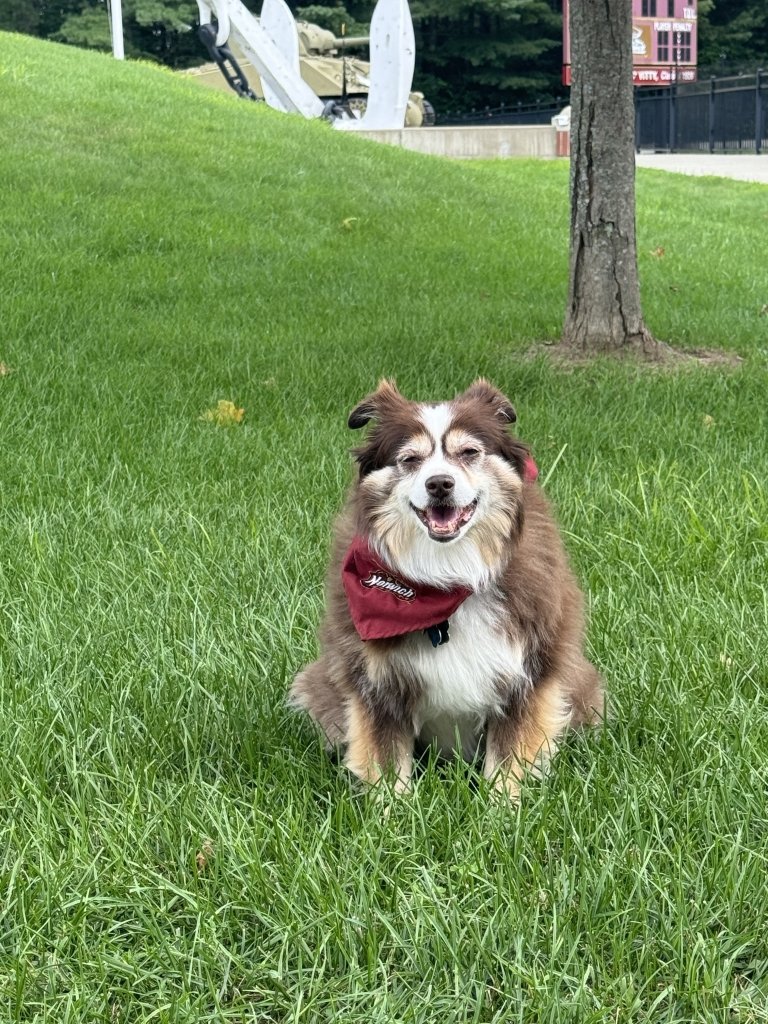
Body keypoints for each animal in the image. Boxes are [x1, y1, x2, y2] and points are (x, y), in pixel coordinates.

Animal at [290, 380, 606, 794]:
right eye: (410, 459)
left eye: (469, 452)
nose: (439, 483)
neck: (448, 577)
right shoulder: (375, 683)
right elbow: (386, 765)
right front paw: (392, 810)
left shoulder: (530, 672)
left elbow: (507, 763)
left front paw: (501, 807)